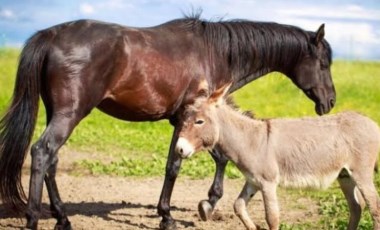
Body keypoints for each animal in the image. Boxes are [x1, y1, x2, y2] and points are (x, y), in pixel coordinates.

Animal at [0, 15, 336, 229]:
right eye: (323, 63)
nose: (330, 101)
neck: (215, 52)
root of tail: (51, 35)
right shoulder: (189, 118)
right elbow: (183, 164)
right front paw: (177, 213)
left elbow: (210, 157)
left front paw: (202, 205)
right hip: (69, 114)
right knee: (42, 152)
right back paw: (33, 218)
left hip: (57, 113)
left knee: (52, 160)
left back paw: (62, 217)